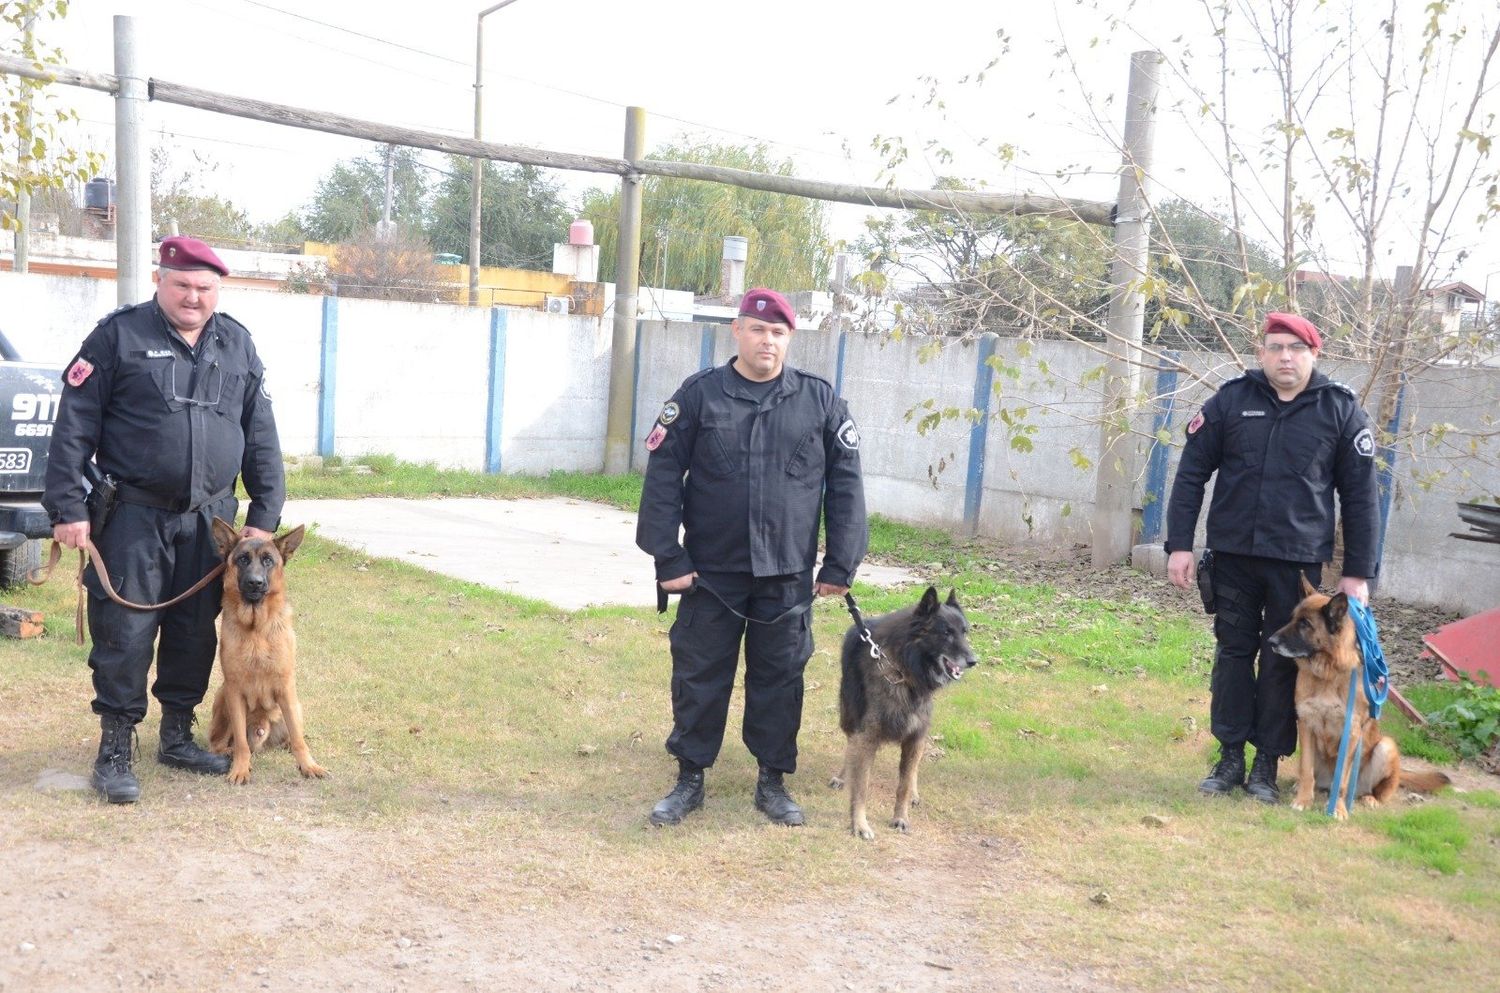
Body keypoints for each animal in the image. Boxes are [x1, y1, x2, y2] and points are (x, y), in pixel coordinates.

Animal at [207, 516, 327, 792]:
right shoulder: (234, 690)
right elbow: (241, 742)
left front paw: (308, 765)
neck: (256, 630)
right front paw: (240, 768)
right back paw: (225, 753)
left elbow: (299, 738)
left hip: (295, 705)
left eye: (268, 560)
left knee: (293, 734)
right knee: (219, 743)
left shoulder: (286, 687)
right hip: (222, 696)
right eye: (242, 559)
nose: (255, 582)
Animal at [828, 588, 978, 846]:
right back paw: (843, 776)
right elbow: (861, 786)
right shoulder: (867, 736)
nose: (973, 661)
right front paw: (859, 824)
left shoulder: (916, 736)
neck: (904, 671)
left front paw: (900, 818)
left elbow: (904, 785)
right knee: (850, 746)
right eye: (946, 633)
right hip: (848, 715)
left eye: (964, 632)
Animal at [1272, 576, 1446, 822]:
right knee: (1313, 776)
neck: (1327, 674)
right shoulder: (1306, 725)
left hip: (1386, 746)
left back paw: (1370, 799)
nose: (1270, 641)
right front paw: (1303, 801)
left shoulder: (1351, 732)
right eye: (1293, 619)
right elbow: (1306, 770)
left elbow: (1343, 781)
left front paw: (1338, 809)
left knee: (1379, 789)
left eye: (1305, 624)